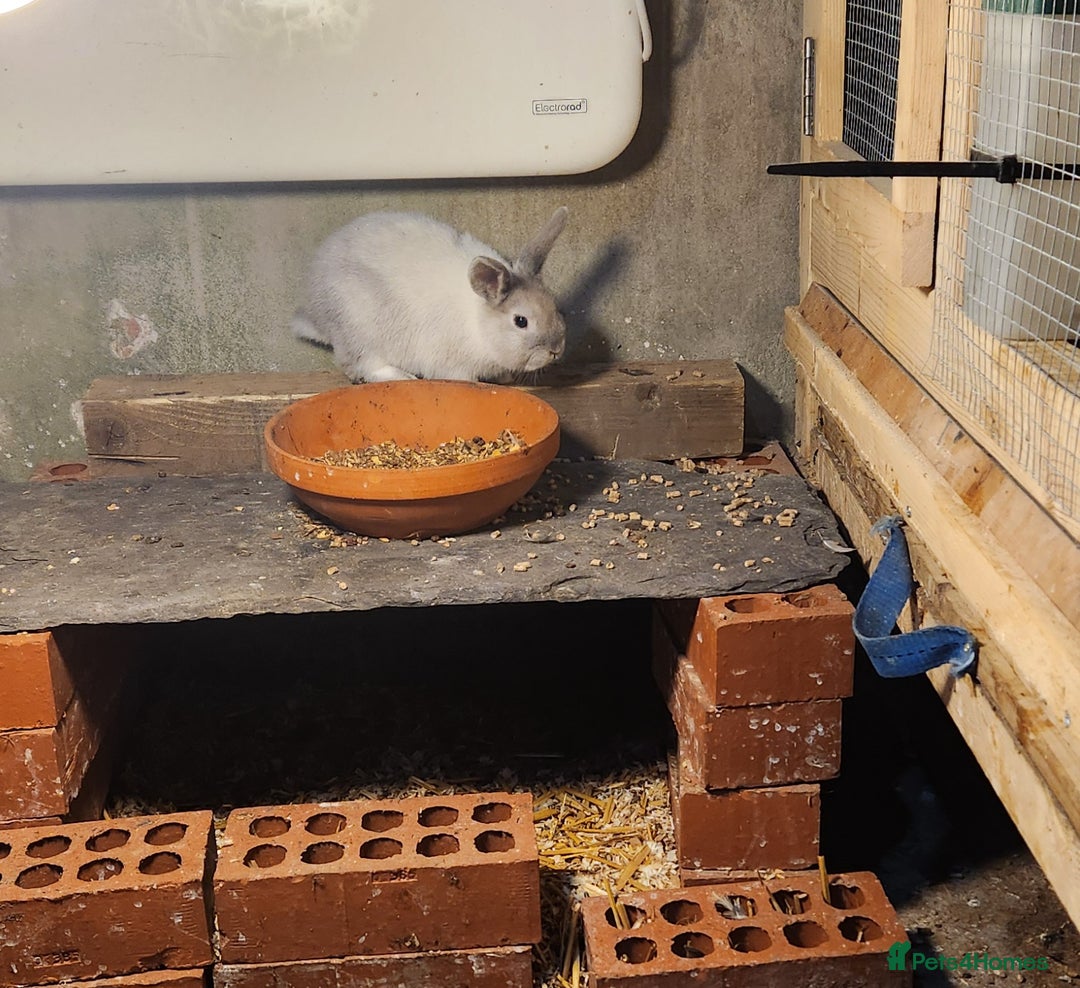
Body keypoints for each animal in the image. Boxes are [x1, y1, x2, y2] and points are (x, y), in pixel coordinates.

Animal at [291, 207, 569, 384]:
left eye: (556, 308)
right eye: (521, 321)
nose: (555, 350)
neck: (478, 322)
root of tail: (318, 315)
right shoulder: (451, 365)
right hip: (361, 332)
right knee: (363, 366)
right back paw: (403, 377)